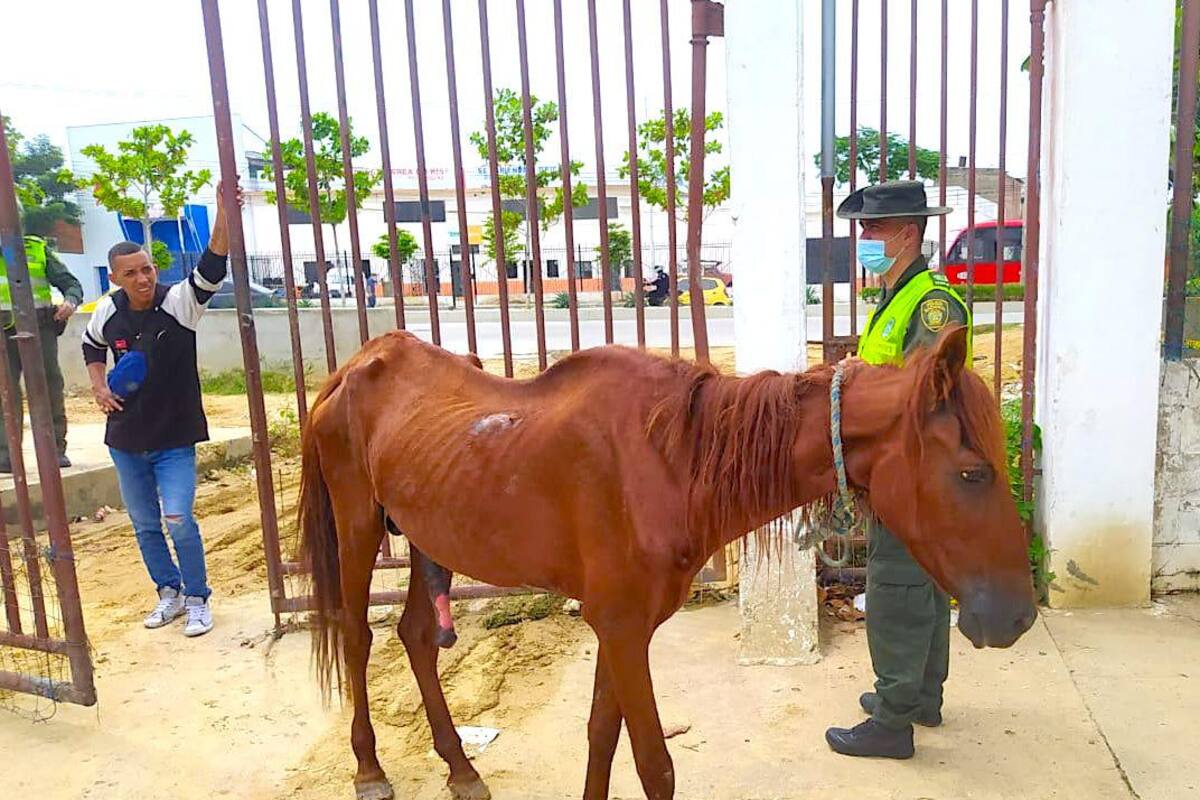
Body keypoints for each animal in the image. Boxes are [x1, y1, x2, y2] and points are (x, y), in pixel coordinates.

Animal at [297, 325, 1036, 800]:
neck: (671, 462)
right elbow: (655, 765)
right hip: (358, 528)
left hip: (430, 538)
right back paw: (369, 770)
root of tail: (360, 360)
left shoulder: (620, 627)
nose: (1018, 617)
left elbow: (601, 736)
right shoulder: (622, 629)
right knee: (359, 639)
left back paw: (461, 769)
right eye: (972, 474)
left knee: (417, 637)